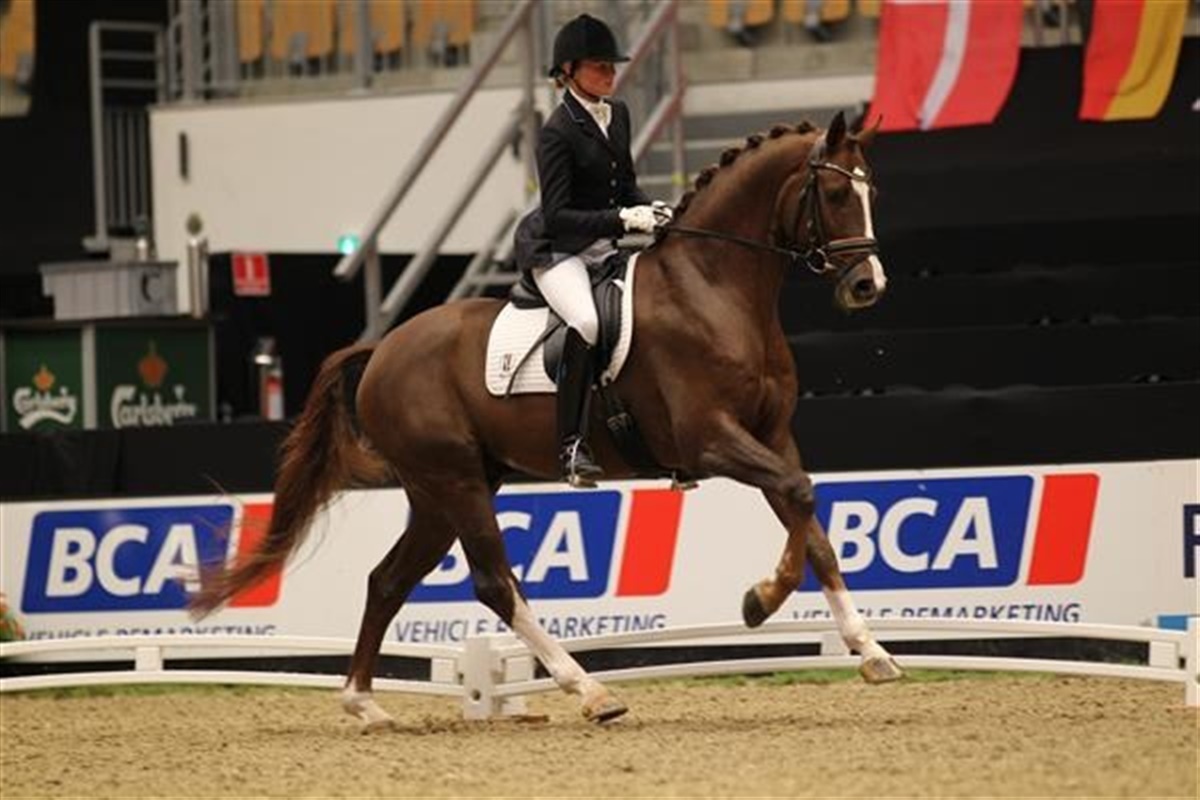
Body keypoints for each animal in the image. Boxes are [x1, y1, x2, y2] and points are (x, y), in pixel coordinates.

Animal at [191, 110, 903, 730]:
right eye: (834, 191)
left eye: (871, 191)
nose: (868, 285)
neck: (713, 289)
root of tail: (384, 347)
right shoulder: (709, 439)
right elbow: (798, 496)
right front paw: (763, 599)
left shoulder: (772, 435)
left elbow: (809, 520)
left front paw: (867, 650)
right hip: (454, 482)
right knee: (493, 583)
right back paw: (588, 691)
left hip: (441, 490)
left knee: (388, 579)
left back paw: (363, 703)